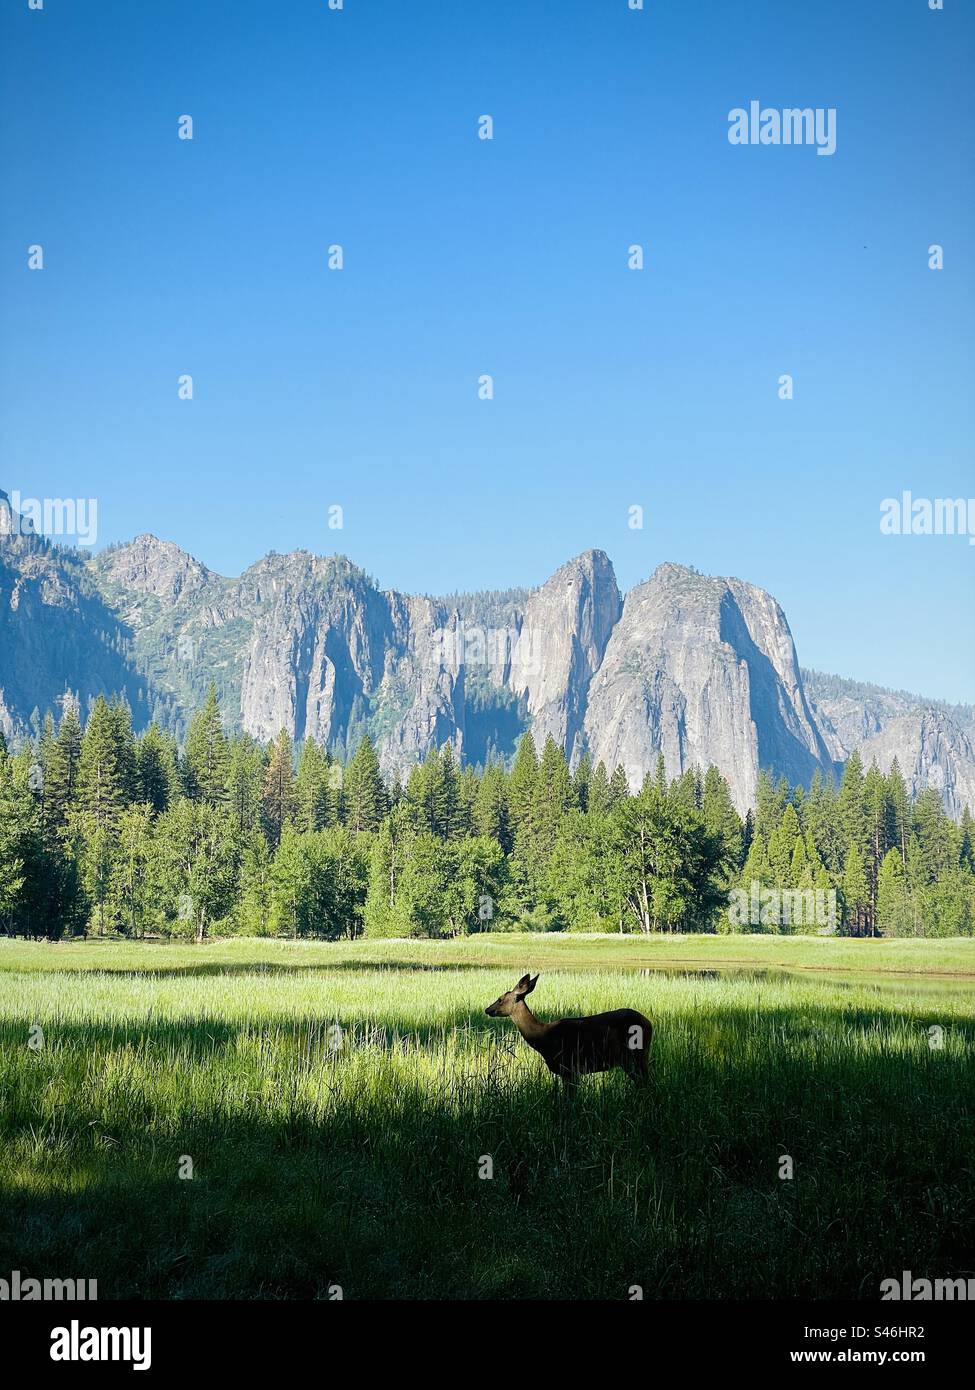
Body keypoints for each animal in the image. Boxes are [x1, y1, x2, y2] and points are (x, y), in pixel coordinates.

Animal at [485, 973, 653, 1092]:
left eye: (500, 999)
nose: (487, 1009)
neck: (543, 1037)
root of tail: (650, 1024)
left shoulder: (569, 1068)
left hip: (635, 1056)